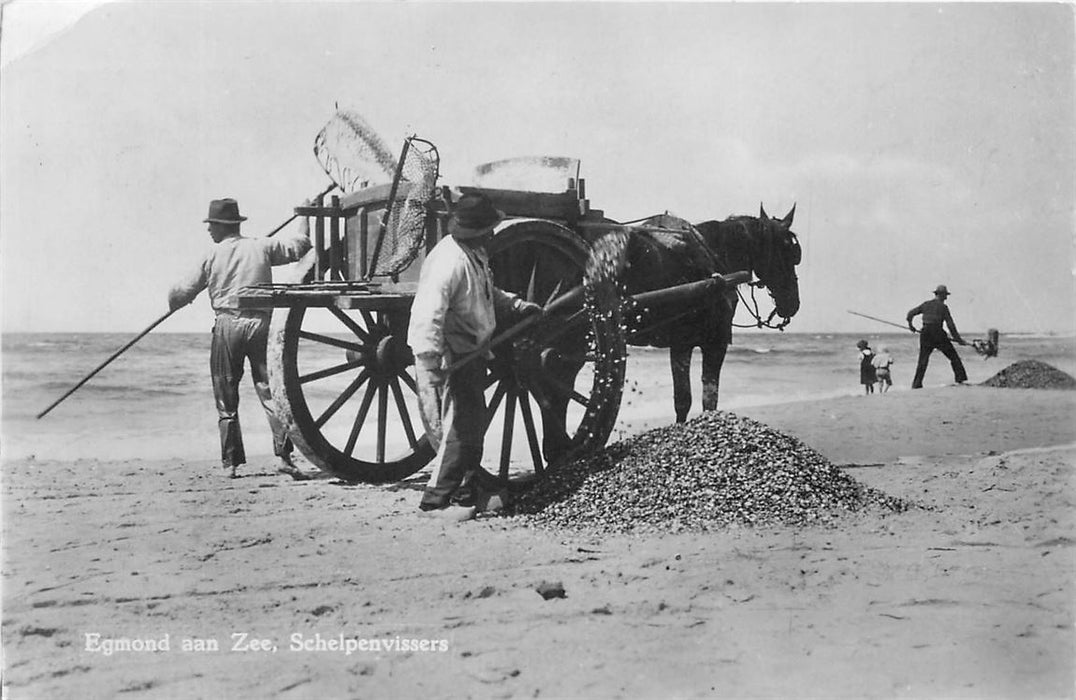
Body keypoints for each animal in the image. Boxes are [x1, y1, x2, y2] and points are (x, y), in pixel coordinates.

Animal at [624, 202, 800, 421]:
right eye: (788, 249)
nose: (793, 303)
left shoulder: (681, 345)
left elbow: (682, 400)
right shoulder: (714, 343)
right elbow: (708, 400)